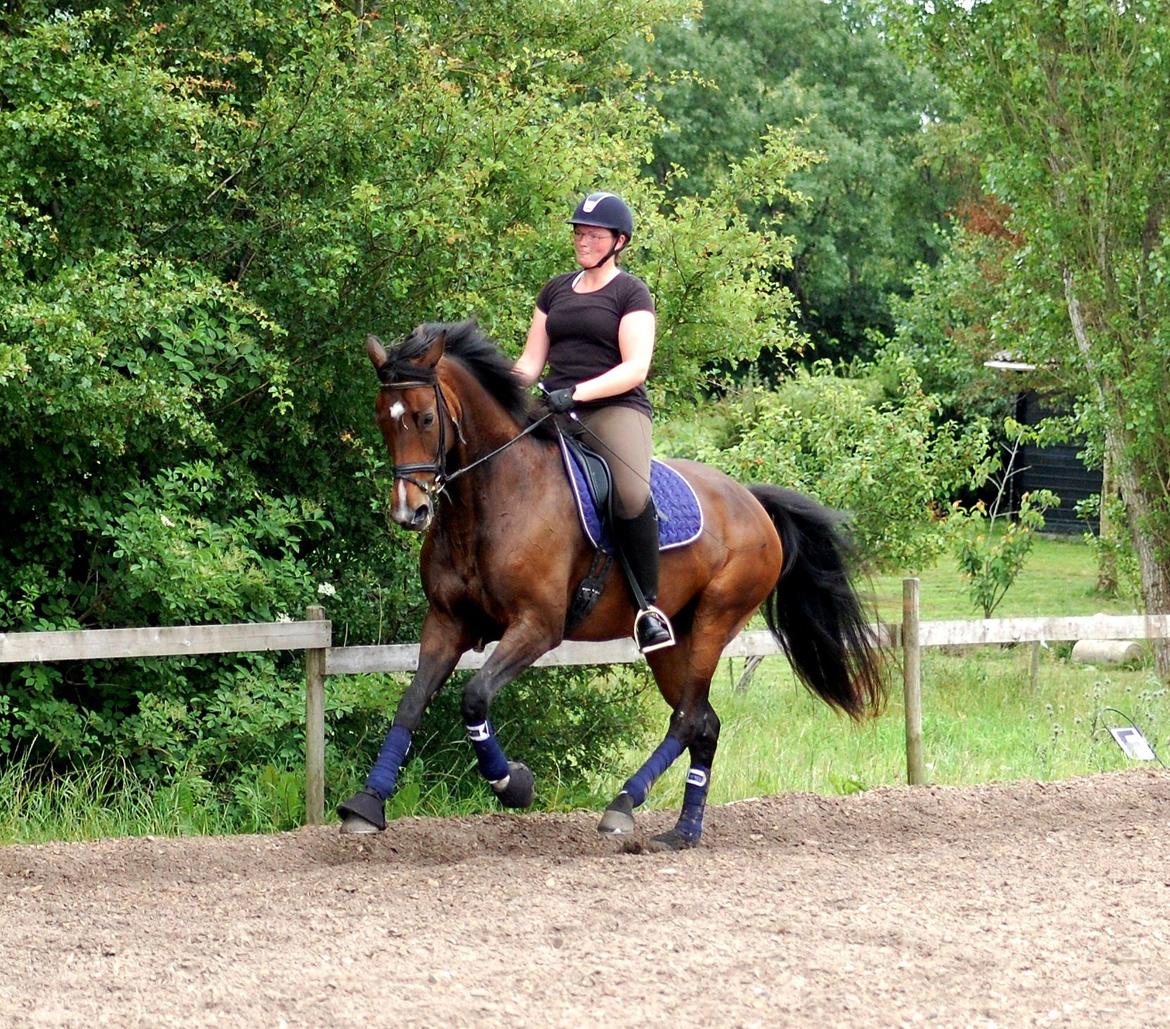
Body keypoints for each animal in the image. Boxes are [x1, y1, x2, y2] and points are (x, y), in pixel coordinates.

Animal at [339, 323, 884, 852]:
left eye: (426, 418)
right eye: (382, 420)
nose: (410, 512)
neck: (492, 501)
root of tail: (749, 499)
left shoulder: (537, 627)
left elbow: (474, 696)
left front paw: (513, 785)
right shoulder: (447, 621)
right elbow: (412, 702)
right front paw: (367, 804)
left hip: (716, 619)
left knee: (688, 719)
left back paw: (623, 805)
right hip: (674, 639)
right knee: (704, 724)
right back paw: (682, 833)